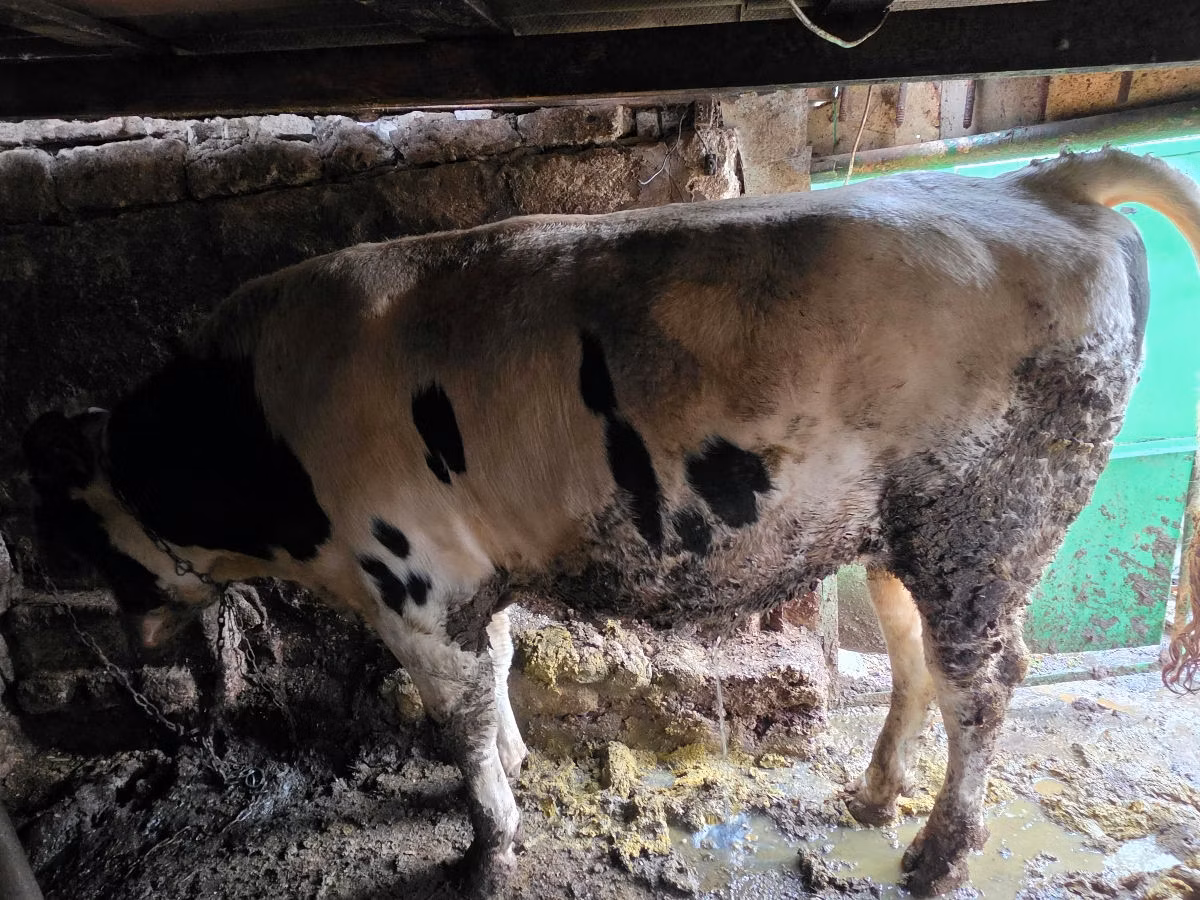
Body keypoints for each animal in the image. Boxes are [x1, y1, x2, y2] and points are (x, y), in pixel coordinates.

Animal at [22, 148, 1200, 896]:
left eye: (73, 531)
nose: (125, 637)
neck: (262, 430)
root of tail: (1040, 180)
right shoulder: (473, 571)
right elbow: (497, 675)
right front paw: (520, 767)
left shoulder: (414, 581)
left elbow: (457, 717)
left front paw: (487, 849)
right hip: (904, 537)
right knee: (917, 663)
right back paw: (871, 798)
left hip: (985, 528)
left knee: (986, 686)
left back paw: (939, 857)